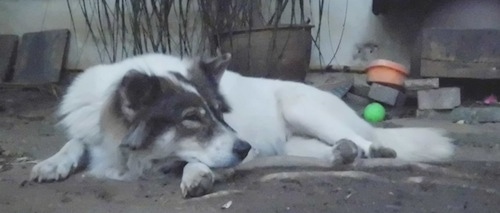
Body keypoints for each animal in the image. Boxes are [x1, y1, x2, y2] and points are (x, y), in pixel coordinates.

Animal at [29, 52, 456, 198]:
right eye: (191, 119)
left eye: (221, 114)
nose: (246, 148)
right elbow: (76, 143)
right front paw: (51, 163)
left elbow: (192, 160)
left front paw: (197, 175)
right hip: (295, 142)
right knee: (330, 149)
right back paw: (341, 156)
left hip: (304, 108)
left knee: (361, 138)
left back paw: (373, 148)